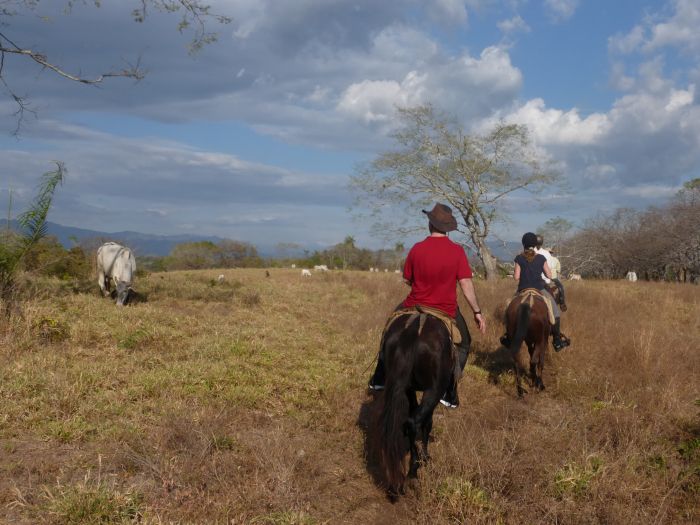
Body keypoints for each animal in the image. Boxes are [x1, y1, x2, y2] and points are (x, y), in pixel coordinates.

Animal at [374, 314, 456, 498]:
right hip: (434, 389)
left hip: (404, 384)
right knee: (415, 422)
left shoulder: (410, 388)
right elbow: (428, 422)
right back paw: (413, 472)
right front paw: (425, 457)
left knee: (409, 422)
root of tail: (414, 330)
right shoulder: (432, 391)